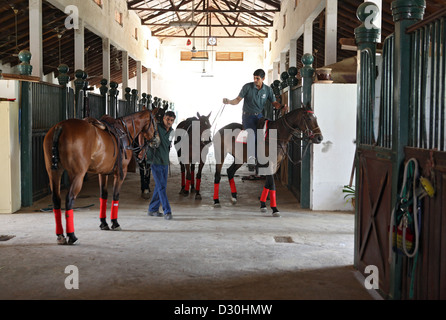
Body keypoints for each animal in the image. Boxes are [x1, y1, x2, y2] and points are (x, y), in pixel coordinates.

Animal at [42, 110, 160, 245]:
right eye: (155, 122)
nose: (157, 140)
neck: (125, 130)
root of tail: (60, 127)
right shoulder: (121, 173)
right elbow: (115, 196)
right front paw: (115, 223)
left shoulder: (102, 173)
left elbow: (103, 196)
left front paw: (103, 223)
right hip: (77, 175)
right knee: (69, 200)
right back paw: (72, 236)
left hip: (54, 173)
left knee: (56, 200)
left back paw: (60, 235)